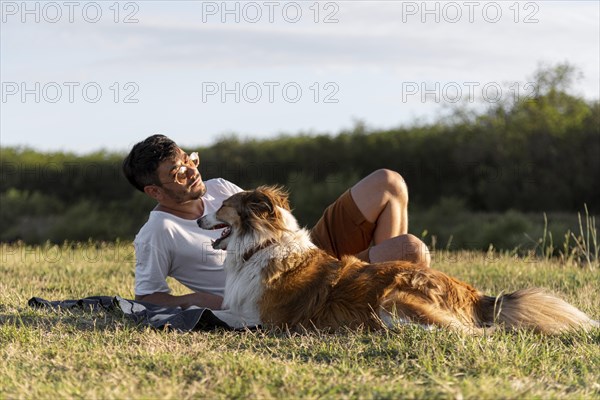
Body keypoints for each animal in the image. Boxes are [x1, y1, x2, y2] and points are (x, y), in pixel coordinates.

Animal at [199, 186, 596, 332]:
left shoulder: (262, 318)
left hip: (394, 299)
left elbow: (222, 315)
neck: (261, 245)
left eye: (222, 205)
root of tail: (478, 296)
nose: (198, 218)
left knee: (469, 332)